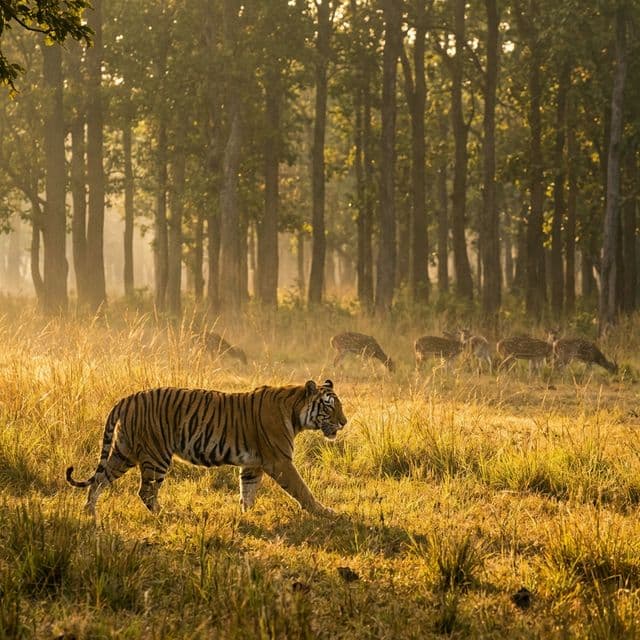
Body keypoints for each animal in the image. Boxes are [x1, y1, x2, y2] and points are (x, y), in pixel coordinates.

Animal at [66, 379, 347, 518]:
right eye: (330, 406)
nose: (345, 422)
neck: (296, 412)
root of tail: (127, 398)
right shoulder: (280, 461)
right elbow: (302, 490)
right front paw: (325, 512)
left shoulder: (252, 464)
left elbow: (248, 492)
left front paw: (247, 516)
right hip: (156, 456)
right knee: (145, 491)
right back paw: (165, 514)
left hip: (123, 452)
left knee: (99, 480)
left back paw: (89, 512)